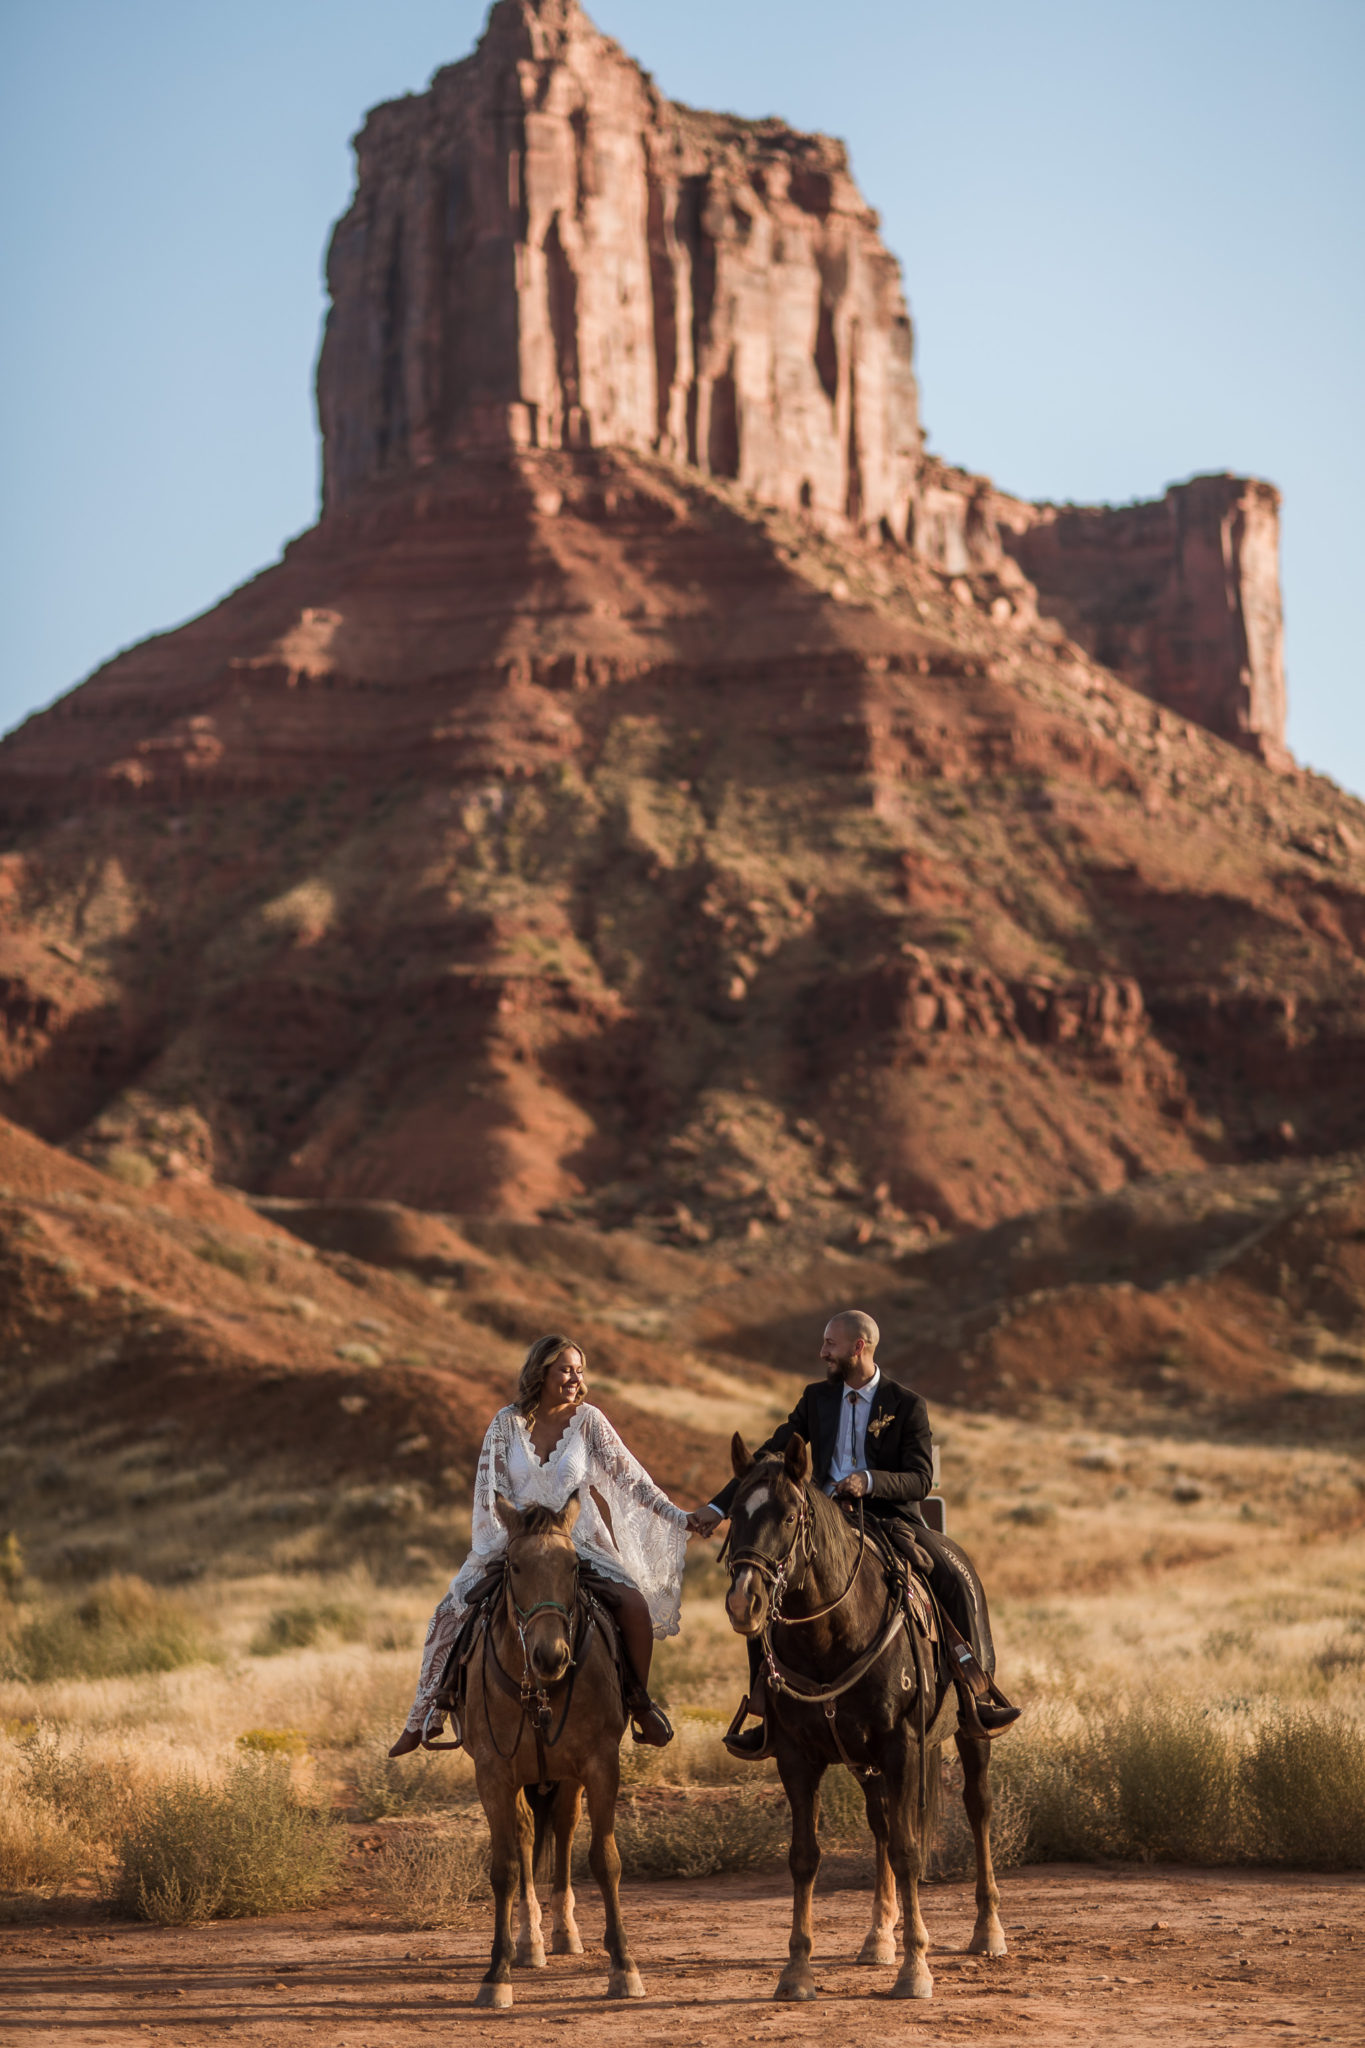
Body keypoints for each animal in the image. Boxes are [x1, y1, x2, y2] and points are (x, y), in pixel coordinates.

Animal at [464, 1499, 646, 2007]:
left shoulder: (601, 1765)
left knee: (563, 1828)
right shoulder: (493, 1774)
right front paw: (497, 1973)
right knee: (527, 1835)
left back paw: (565, 1932)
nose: (551, 1656)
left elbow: (605, 1861)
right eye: (515, 1566)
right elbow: (504, 1868)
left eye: (573, 1567)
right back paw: (530, 1942)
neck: (539, 1689)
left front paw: (624, 1966)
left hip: (566, 1776)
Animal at [724, 1433, 1002, 1990]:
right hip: (863, 1761)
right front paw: (797, 1970)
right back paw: (877, 1937)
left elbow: (908, 1849)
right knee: (880, 1822)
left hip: (968, 1732)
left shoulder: (902, 1746)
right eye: (735, 1514)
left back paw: (988, 1930)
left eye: (790, 1516)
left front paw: (916, 1969)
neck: (829, 1637)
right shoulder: (796, 1757)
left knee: (976, 1806)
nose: (744, 1601)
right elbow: (805, 1856)